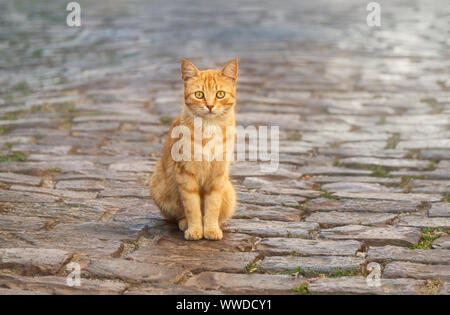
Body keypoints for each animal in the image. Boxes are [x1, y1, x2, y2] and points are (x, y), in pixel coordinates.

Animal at [149, 58, 237, 241]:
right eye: (199, 95)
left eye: (220, 94)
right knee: (175, 216)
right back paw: (184, 223)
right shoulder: (186, 174)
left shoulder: (218, 176)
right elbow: (192, 207)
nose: (210, 106)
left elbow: (212, 206)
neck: (209, 128)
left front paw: (210, 229)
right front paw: (196, 229)